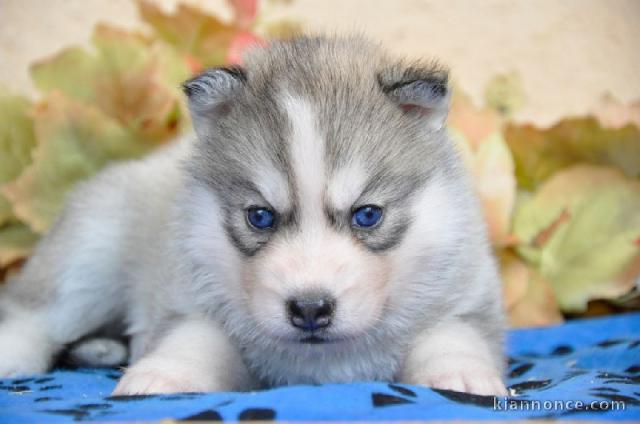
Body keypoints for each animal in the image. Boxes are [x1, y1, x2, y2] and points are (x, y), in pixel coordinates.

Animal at [1, 35, 510, 394]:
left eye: (366, 215)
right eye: (260, 217)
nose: (310, 309)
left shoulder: (464, 300)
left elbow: (453, 337)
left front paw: (463, 376)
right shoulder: (191, 300)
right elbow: (193, 340)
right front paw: (163, 375)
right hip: (92, 248)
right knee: (36, 313)